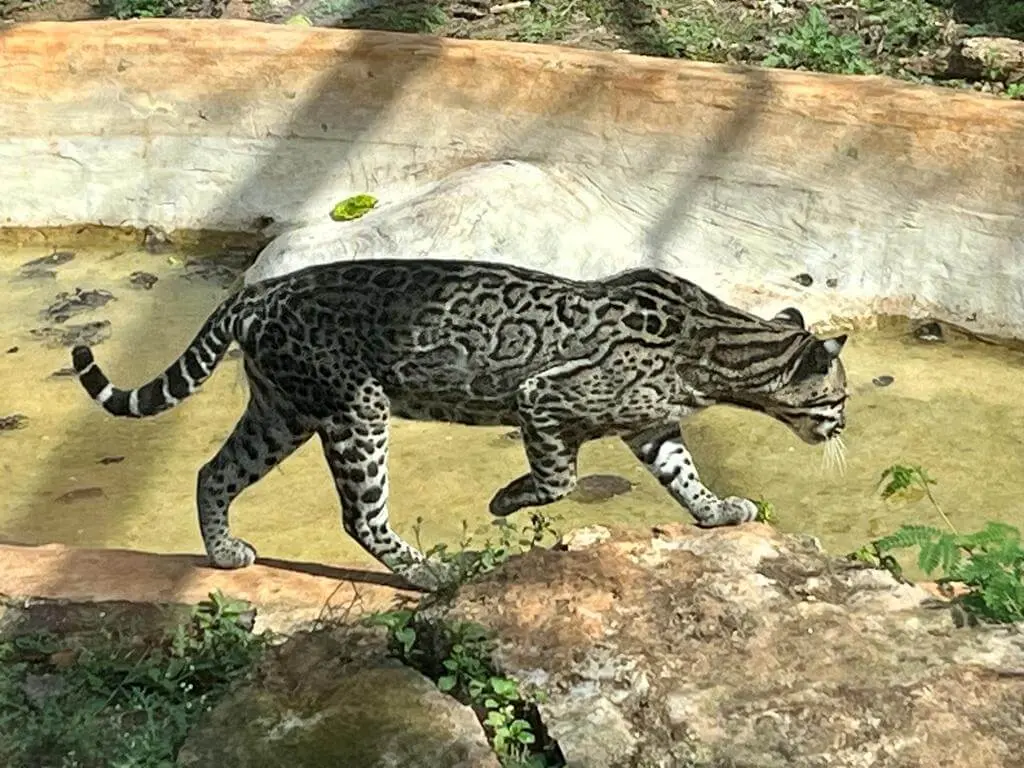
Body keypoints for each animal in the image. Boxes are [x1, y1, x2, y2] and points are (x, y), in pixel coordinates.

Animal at [71, 258, 848, 590]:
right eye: (838, 402)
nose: (840, 432)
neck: (719, 345)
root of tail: (259, 289)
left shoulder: (652, 428)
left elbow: (684, 477)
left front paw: (717, 511)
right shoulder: (540, 395)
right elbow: (557, 478)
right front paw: (505, 501)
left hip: (282, 411)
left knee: (214, 470)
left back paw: (223, 551)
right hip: (356, 411)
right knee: (361, 516)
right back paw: (429, 572)